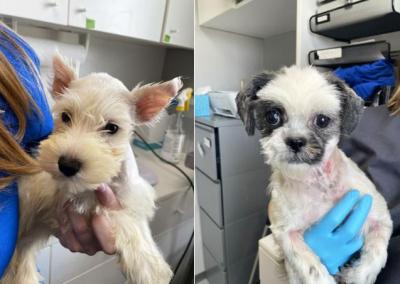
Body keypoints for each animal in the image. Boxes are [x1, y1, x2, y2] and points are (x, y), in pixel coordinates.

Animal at [2, 55, 181, 284]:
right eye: (66, 117)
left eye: (112, 128)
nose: (67, 165)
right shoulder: (79, 204)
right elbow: (120, 218)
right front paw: (148, 268)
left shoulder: (133, 194)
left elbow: (138, 223)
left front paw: (152, 259)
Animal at [236, 66, 392, 284]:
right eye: (273, 116)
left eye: (322, 120)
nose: (295, 141)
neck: (316, 184)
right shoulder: (285, 232)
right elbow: (311, 267)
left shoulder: (380, 216)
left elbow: (377, 253)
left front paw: (359, 275)